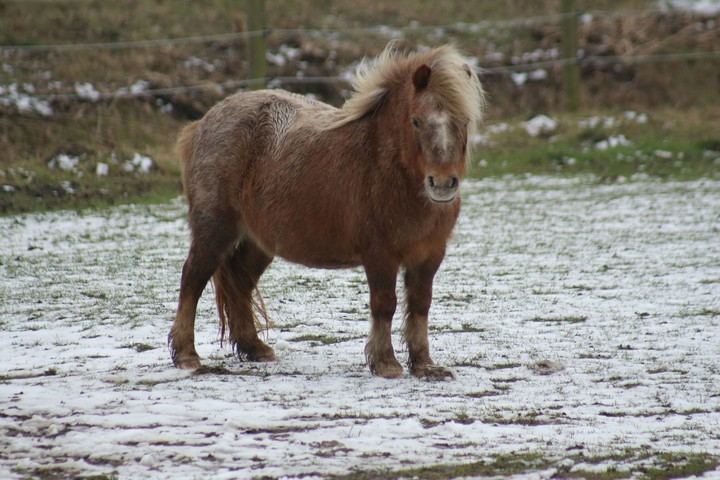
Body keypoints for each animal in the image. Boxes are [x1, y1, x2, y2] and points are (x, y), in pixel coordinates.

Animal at [168, 43, 485, 379]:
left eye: (464, 121)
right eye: (416, 121)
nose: (442, 184)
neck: (386, 167)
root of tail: (202, 123)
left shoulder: (429, 255)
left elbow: (420, 305)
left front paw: (424, 364)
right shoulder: (379, 254)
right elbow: (385, 303)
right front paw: (385, 363)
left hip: (259, 242)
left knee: (240, 281)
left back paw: (255, 348)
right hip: (215, 230)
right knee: (193, 279)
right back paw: (186, 354)